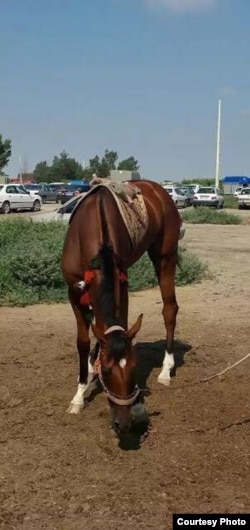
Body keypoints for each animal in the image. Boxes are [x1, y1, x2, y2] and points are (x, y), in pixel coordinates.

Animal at [60, 179, 182, 436]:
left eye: (134, 367)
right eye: (107, 371)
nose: (124, 423)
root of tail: (159, 190)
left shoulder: (121, 286)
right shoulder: (74, 291)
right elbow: (84, 340)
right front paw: (80, 393)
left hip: (165, 256)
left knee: (169, 309)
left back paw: (166, 369)